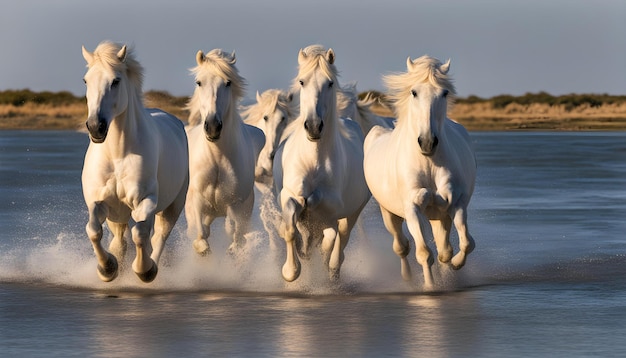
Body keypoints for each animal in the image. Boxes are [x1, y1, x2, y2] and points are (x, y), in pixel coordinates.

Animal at [80, 41, 188, 282]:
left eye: (115, 81)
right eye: (86, 80)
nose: (95, 127)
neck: (118, 155)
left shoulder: (145, 201)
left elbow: (140, 234)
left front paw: (144, 270)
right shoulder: (99, 201)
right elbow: (94, 230)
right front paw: (108, 268)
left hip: (173, 206)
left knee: (158, 236)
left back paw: (150, 267)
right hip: (118, 213)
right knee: (121, 238)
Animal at [272, 44, 370, 282]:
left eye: (330, 83)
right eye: (302, 81)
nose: (314, 126)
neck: (313, 160)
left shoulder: (332, 206)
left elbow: (327, 232)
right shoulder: (288, 194)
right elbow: (291, 228)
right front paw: (291, 270)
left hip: (354, 211)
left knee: (340, 235)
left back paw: (332, 268)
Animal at [360, 56, 472, 290]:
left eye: (444, 93)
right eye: (414, 92)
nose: (428, 142)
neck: (427, 162)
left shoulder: (455, 203)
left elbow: (466, 244)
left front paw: (456, 265)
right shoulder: (412, 210)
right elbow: (423, 253)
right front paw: (430, 288)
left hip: (439, 215)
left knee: (443, 248)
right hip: (389, 214)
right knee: (402, 246)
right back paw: (407, 278)